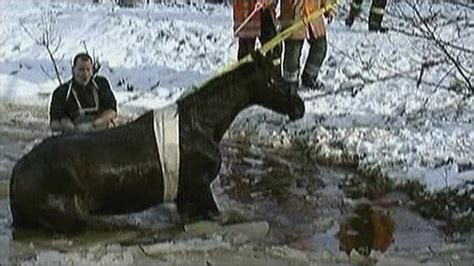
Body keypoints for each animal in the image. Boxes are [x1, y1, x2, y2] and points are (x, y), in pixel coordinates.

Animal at [9, 52, 306, 233]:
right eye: (273, 78)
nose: (300, 106)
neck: (205, 124)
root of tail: (16, 177)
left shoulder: (186, 197)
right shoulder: (199, 188)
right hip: (76, 217)